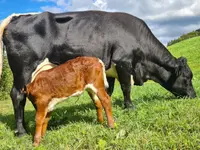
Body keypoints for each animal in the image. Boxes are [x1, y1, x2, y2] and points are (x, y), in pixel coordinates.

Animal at [0, 10, 196, 136]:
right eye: (187, 78)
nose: (194, 96)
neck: (143, 66)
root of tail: (17, 17)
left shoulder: (108, 69)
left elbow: (107, 92)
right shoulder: (124, 61)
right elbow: (126, 87)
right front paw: (130, 107)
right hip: (23, 70)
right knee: (18, 95)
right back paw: (21, 131)